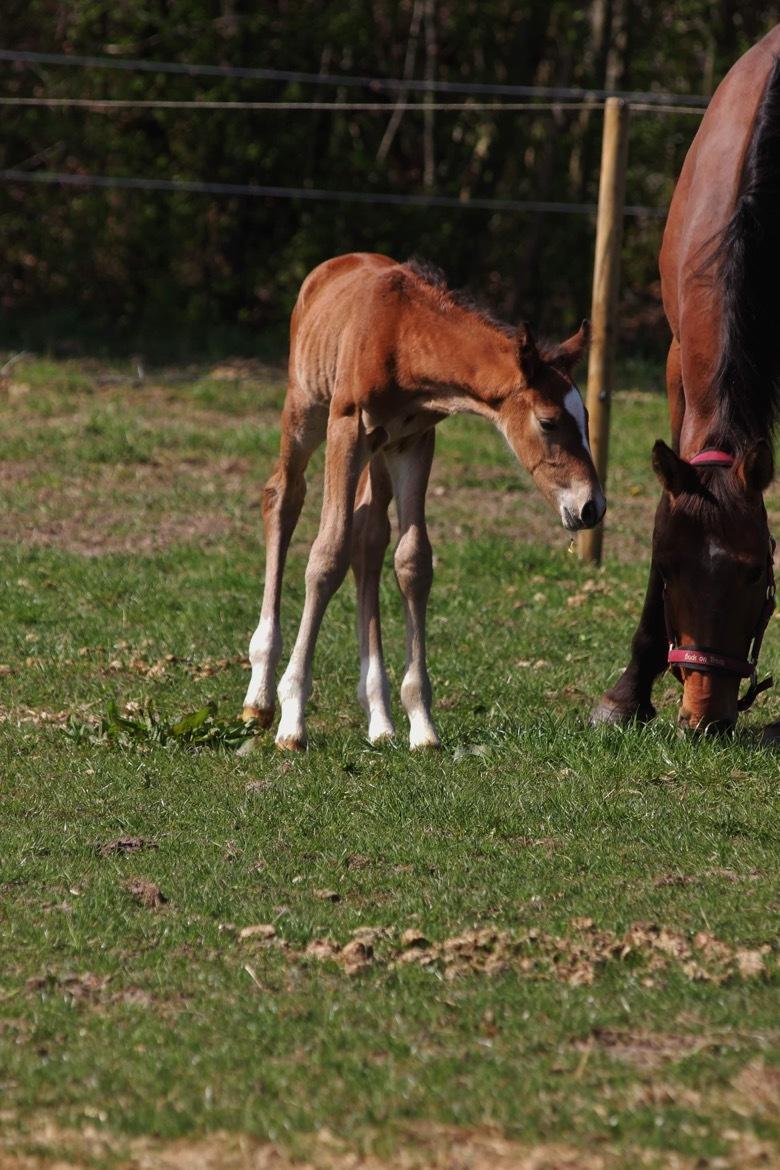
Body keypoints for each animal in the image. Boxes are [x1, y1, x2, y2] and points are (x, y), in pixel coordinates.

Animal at [240, 255, 608, 748]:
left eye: (586, 417)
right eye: (548, 422)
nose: (591, 507)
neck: (402, 338)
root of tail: (330, 267)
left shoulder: (414, 441)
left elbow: (412, 562)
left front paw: (421, 722)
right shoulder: (347, 427)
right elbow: (326, 557)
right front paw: (293, 716)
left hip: (379, 454)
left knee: (369, 536)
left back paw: (379, 718)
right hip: (306, 410)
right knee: (283, 498)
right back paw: (259, 695)